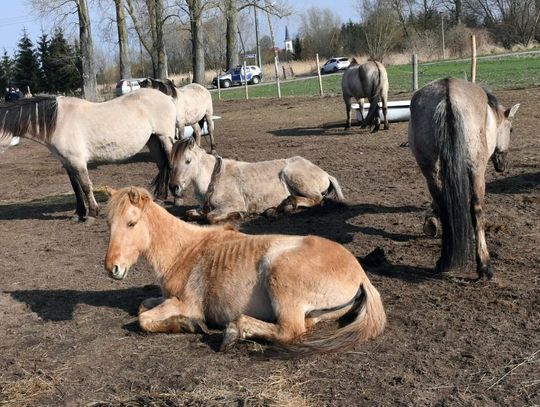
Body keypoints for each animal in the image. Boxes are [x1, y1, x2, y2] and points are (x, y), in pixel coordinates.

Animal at [0, 89, 178, 222]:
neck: (59, 121)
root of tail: (167, 97)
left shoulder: (78, 161)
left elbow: (85, 186)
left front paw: (92, 213)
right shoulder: (67, 162)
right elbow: (76, 188)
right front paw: (78, 213)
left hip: (164, 137)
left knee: (169, 164)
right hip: (153, 139)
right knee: (162, 164)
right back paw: (160, 196)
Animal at [103, 186, 386, 356]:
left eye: (131, 223)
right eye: (109, 224)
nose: (112, 268)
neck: (186, 251)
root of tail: (360, 274)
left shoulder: (187, 304)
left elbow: (144, 319)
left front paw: (189, 324)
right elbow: (143, 306)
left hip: (279, 274)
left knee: (289, 331)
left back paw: (233, 332)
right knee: (302, 326)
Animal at [169, 139, 346, 225]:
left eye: (188, 161)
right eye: (171, 163)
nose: (173, 187)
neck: (213, 178)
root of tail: (325, 174)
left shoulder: (232, 204)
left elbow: (211, 217)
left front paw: (239, 215)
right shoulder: (201, 208)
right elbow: (190, 214)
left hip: (292, 174)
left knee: (318, 200)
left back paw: (288, 204)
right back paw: (276, 209)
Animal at [410, 78, 520, 278]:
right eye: (511, 129)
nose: (503, 165)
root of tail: (448, 94)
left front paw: (431, 222)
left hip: (430, 170)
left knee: (445, 206)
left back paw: (444, 260)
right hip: (477, 171)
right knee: (477, 211)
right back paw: (484, 266)